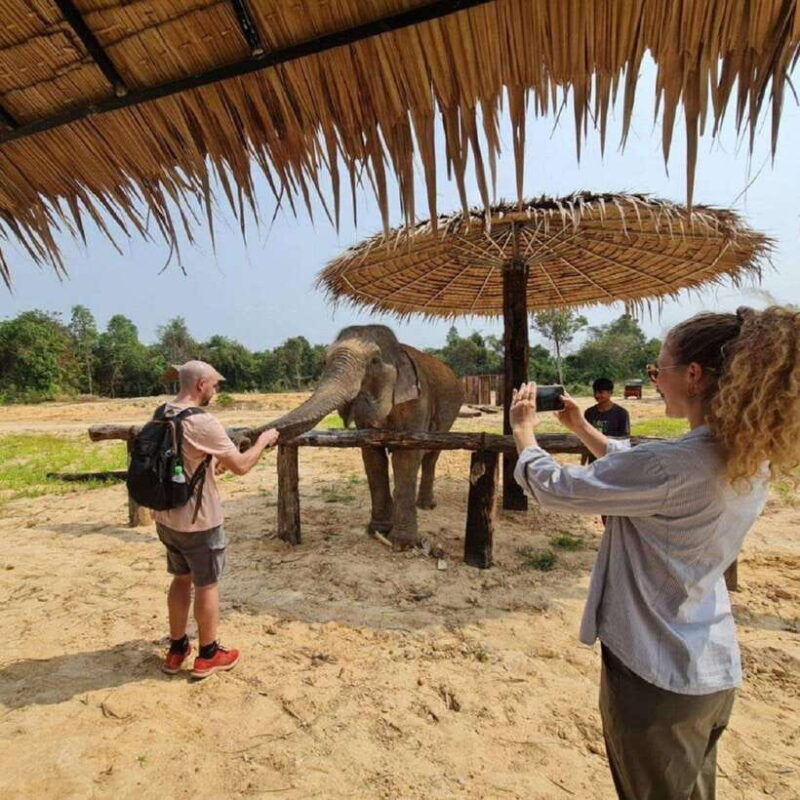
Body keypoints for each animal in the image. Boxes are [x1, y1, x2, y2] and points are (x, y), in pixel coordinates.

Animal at [254, 324, 464, 548]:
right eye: (324, 361)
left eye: (374, 361)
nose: (241, 438)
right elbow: (372, 456)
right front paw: (378, 530)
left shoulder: (417, 402)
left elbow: (405, 456)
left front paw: (402, 544)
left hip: (449, 413)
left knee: (432, 454)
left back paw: (425, 505)